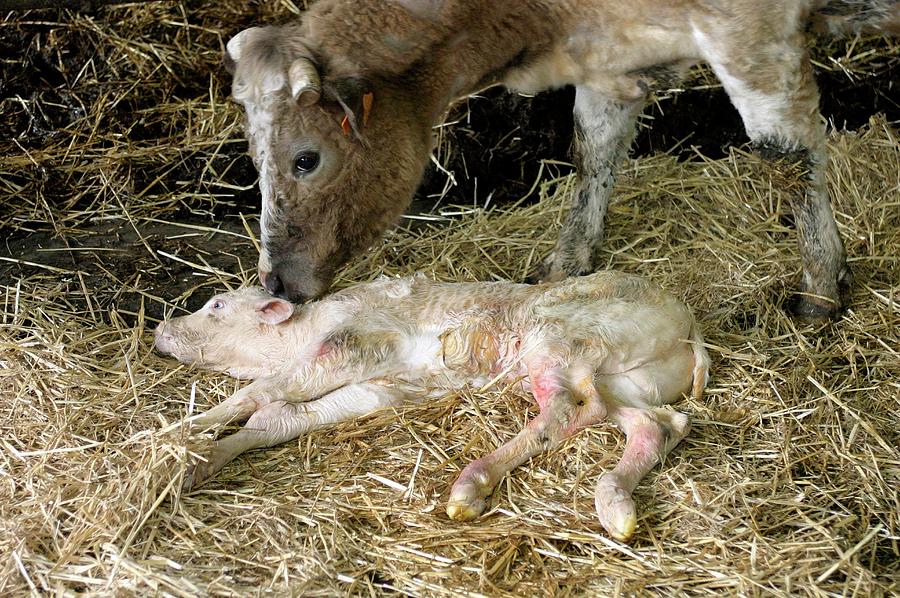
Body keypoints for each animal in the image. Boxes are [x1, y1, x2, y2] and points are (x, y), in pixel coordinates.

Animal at [155, 274, 712, 544]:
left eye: (217, 306)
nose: (161, 328)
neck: (300, 335)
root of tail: (687, 320)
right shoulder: (381, 387)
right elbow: (279, 417)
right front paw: (202, 462)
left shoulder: (351, 344)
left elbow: (259, 395)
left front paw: (182, 433)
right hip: (626, 381)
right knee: (657, 424)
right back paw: (615, 504)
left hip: (555, 338)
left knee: (567, 411)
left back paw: (471, 483)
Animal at [221, 0, 896, 322]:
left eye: (306, 159)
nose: (273, 282)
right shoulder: (614, 55)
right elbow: (594, 145)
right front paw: (567, 264)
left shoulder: (751, 31)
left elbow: (786, 153)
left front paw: (820, 286)